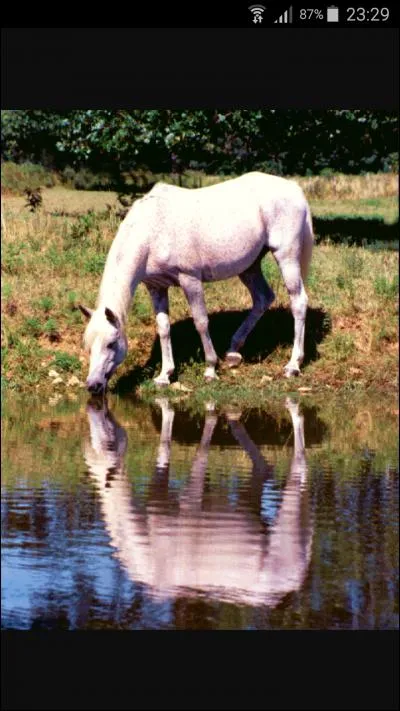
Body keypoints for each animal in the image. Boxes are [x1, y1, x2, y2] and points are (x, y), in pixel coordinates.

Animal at [79, 172, 313, 394]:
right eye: (87, 345)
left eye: (111, 343)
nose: (93, 385)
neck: (153, 229)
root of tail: (294, 188)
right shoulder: (156, 287)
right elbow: (163, 328)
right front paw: (165, 375)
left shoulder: (190, 280)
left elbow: (201, 322)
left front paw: (210, 369)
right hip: (250, 267)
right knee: (263, 298)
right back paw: (233, 352)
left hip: (286, 257)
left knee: (298, 302)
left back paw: (293, 365)